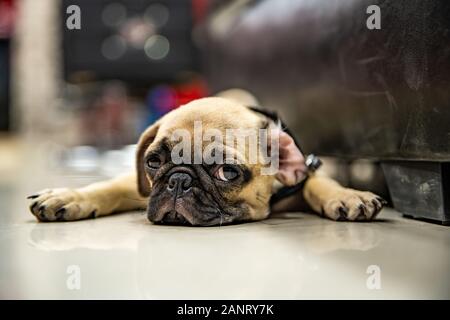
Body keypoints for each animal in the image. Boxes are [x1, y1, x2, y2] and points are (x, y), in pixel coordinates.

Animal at [28, 95, 384, 225]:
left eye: (227, 172)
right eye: (153, 162)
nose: (178, 179)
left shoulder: (304, 176)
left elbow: (319, 183)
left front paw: (348, 195)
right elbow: (108, 186)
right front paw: (70, 197)